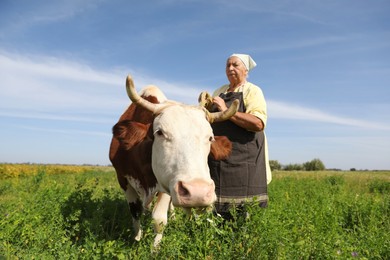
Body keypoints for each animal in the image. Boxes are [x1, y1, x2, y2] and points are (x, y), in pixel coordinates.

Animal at [108, 75, 239, 248]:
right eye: (159, 132)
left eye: (210, 138)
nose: (198, 192)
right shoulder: (122, 178)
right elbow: (135, 211)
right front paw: (136, 238)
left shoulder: (166, 183)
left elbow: (159, 220)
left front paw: (155, 249)